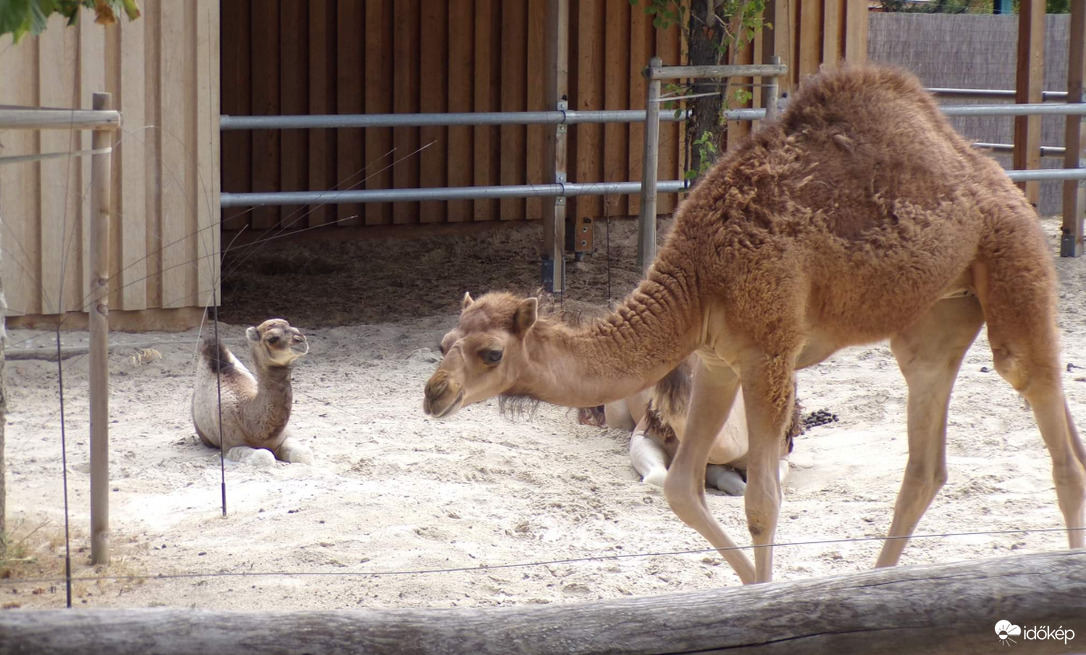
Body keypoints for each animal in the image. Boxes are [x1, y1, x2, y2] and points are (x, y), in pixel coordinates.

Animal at [192, 319, 314, 467]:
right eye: (272, 338)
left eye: (296, 328)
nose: (301, 340)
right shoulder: (229, 445)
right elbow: (264, 456)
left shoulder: (284, 437)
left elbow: (303, 454)